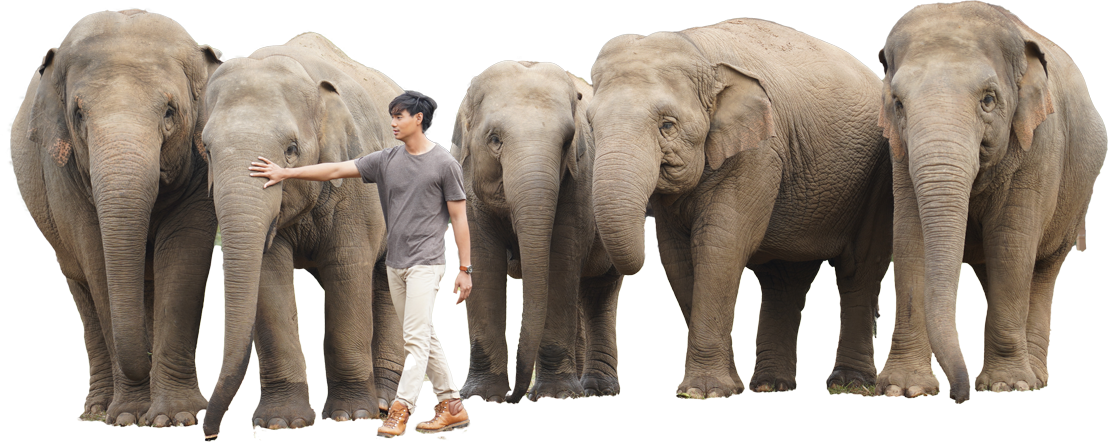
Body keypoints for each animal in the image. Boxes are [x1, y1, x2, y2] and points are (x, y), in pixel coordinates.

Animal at [9, 10, 223, 426]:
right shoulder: (62, 173)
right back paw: (97, 409)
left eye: (170, 111)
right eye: (78, 114)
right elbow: (96, 260)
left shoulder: (201, 165)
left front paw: (177, 418)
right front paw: (128, 417)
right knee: (83, 290)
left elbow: (185, 254)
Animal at [450, 60, 623, 404]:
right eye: (494, 139)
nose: (513, 397)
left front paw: (555, 396)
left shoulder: (579, 182)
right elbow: (484, 263)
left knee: (599, 291)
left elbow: (560, 262)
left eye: (567, 142)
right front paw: (481, 398)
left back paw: (595, 389)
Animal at [587, 18, 895, 397]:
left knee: (858, 270)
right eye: (591, 126)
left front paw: (704, 392)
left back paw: (849, 384)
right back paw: (770, 386)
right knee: (784, 280)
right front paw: (725, 388)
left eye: (667, 125)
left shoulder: (758, 151)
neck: (701, 53)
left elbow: (720, 245)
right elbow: (678, 258)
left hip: (877, 180)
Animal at [874, 2, 1107, 403]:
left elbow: (1011, 244)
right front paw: (904, 389)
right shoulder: (900, 156)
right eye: (898, 104)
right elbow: (909, 239)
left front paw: (1007, 385)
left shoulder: (1038, 146)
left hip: (1078, 195)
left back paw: (1037, 377)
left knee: (1042, 270)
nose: (959, 395)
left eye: (988, 100)